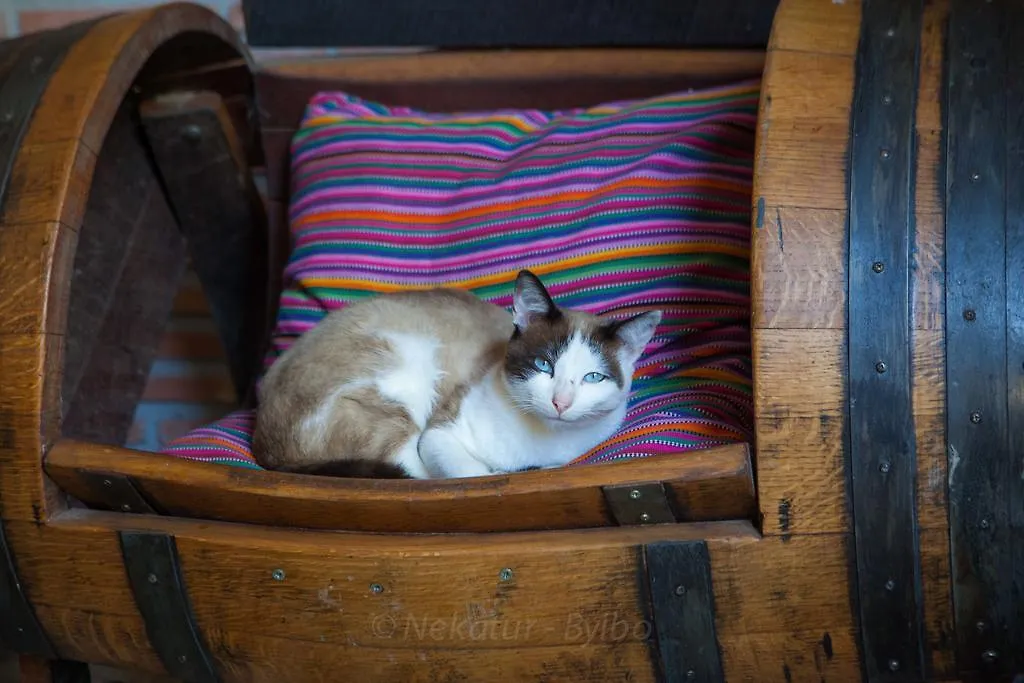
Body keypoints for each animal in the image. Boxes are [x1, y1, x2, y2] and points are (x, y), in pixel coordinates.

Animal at [251, 270, 659, 481]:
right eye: (544, 365)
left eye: (592, 378)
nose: (560, 402)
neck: (539, 443)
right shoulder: (440, 433)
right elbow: (469, 475)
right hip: (408, 373)